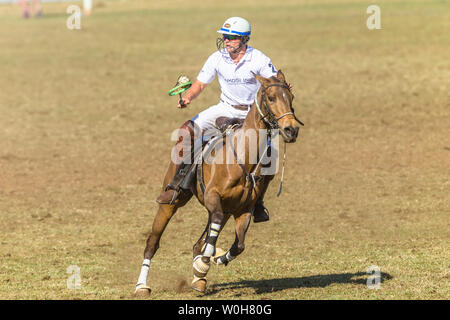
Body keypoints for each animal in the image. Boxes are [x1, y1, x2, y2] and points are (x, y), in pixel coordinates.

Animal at [134, 70, 302, 298]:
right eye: (271, 97)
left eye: (291, 97)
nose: (291, 130)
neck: (243, 158)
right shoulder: (213, 198)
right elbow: (212, 241)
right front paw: (204, 263)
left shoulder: (243, 210)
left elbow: (238, 245)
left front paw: (213, 261)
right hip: (171, 202)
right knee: (153, 241)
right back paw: (142, 286)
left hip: (226, 211)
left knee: (200, 242)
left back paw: (199, 279)